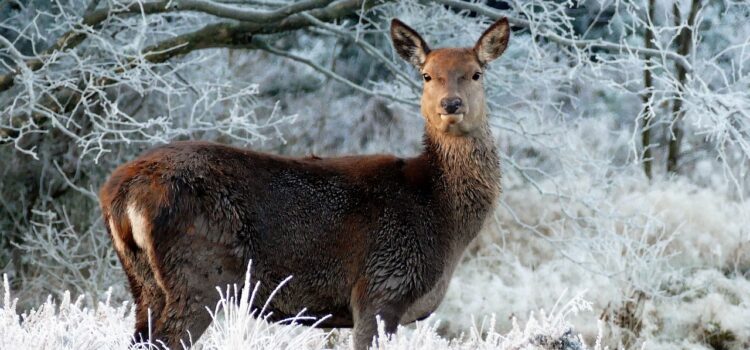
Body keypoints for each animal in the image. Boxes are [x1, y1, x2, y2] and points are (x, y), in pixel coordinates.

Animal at [98, 17, 512, 350]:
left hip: (143, 283)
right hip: (199, 274)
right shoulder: (381, 287)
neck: (440, 214)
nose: (451, 105)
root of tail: (120, 193)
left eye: (476, 73)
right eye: (427, 75)